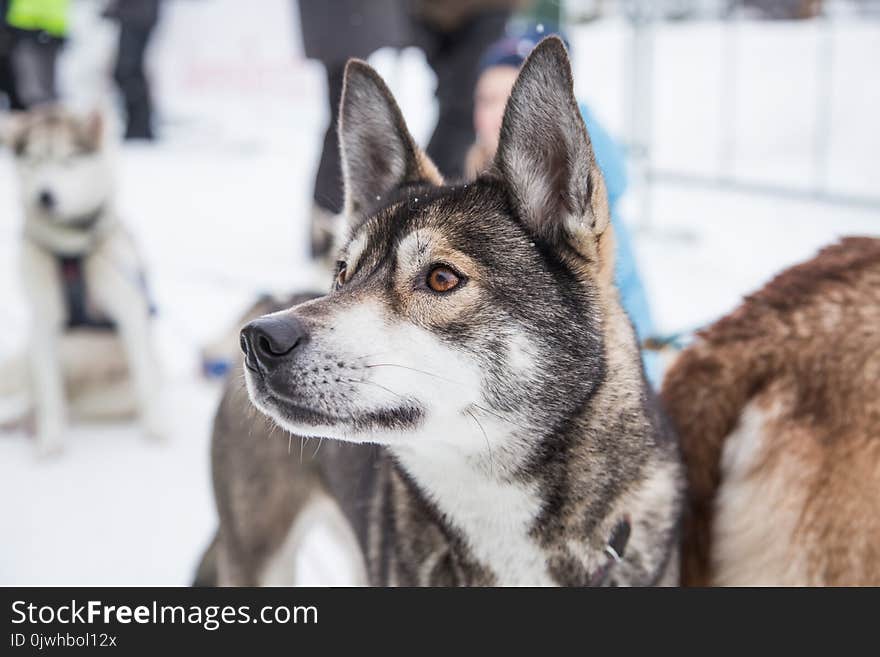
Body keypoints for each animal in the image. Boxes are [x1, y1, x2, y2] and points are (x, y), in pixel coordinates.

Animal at [0, 109, 165, 456]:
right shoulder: (43, 324)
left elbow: (145, 381)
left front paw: (158, 427)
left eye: (69, 161)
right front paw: (50, 442)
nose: (45, 196)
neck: (70, 253)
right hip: (30, 358)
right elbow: (49, 394)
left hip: (116, 392)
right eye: (33, 160)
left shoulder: (129, 313)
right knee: (44, 398)